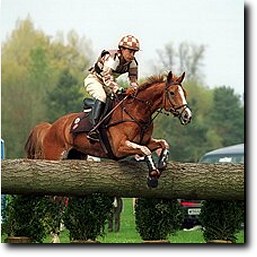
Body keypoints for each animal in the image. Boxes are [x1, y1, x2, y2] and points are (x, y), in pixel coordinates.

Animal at [25, 71, 191, 187]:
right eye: (172, 93)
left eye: (184, 93)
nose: (187, 116)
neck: (137, 112)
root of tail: (51, 127)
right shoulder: (119, 147)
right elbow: (145, 150)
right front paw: (153, 175)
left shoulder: (145, 141)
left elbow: (163, 143)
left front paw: (162, 161)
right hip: (54, 156)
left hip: (76, 155)